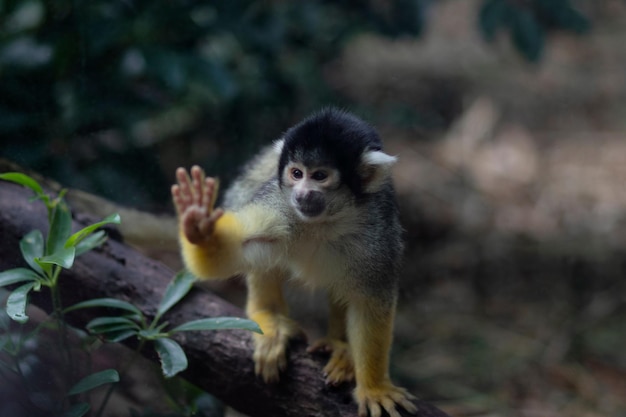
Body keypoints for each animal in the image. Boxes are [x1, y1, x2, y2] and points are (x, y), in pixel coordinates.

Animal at [171, 108, 414, 416]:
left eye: (319, 176)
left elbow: (370, 303)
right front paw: (199, 226)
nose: (302, 193)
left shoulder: (378, 233)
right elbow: (236, 250)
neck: (325, 221)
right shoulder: (280, 207)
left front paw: (374, 388)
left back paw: (340, 347)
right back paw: (269, 316)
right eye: (297, 173)